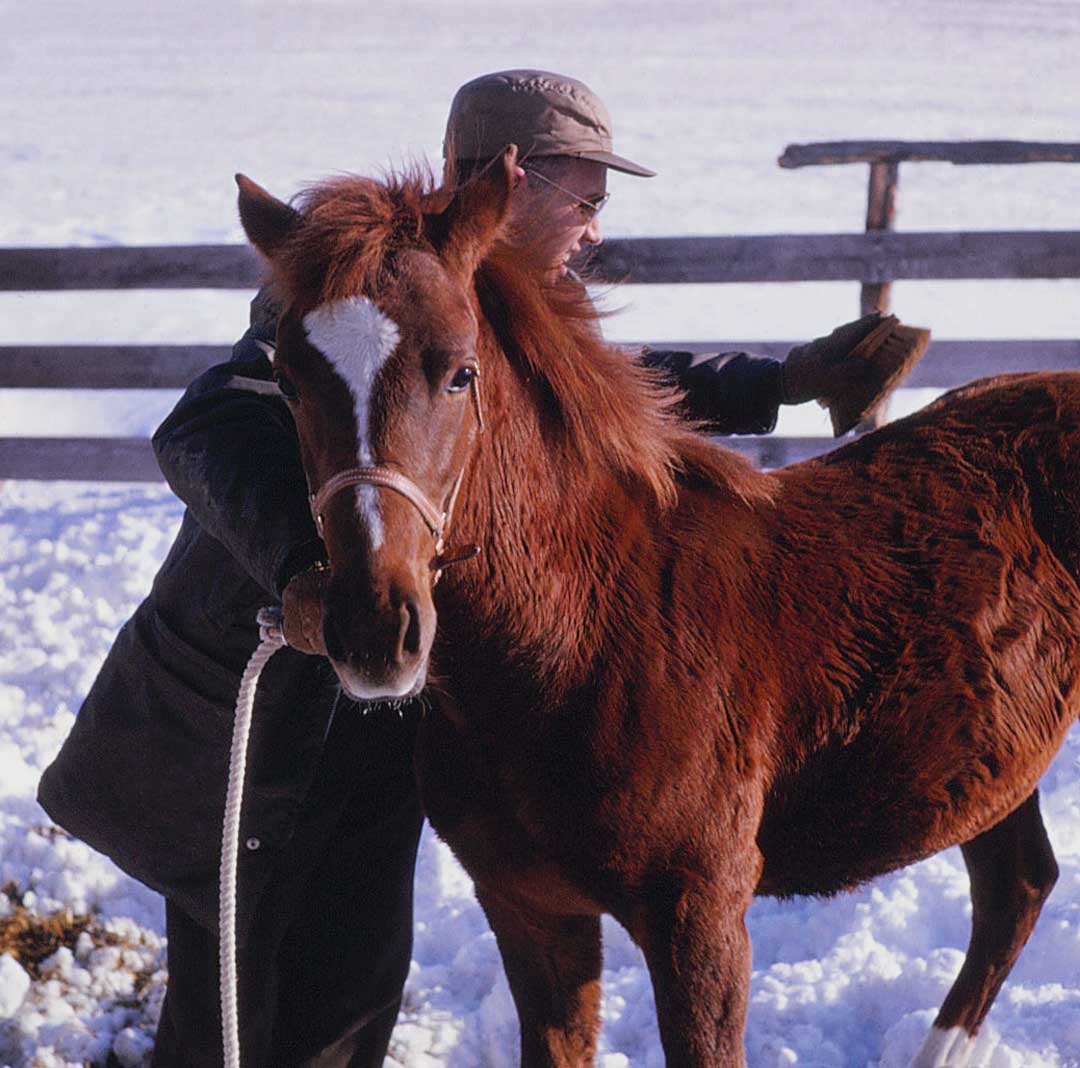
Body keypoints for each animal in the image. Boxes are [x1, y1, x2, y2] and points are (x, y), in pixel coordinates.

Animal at [234, 147, 1080, 1067]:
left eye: (461, 372)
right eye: (286, 380)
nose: (375, 632)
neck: (583, 638)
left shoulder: (699, 919)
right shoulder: (531, 911)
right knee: (1018, 885)